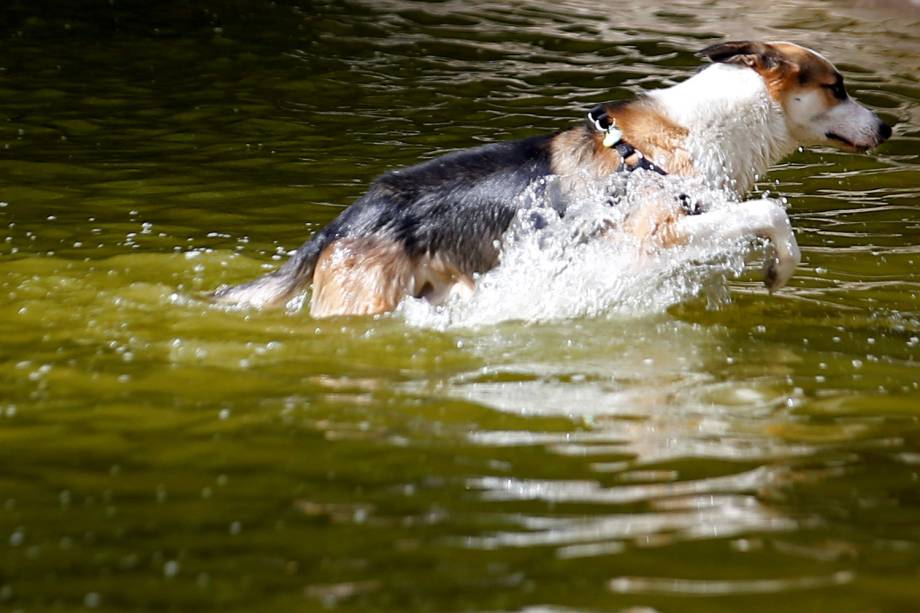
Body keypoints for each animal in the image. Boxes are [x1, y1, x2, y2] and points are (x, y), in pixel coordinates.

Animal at [216, 40, 892, 318]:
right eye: (838, 88)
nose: (888, 127)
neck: (708, 127)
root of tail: (348, 220)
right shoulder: (657, 234)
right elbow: (771, 212)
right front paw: (779, 269)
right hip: (360, 304)